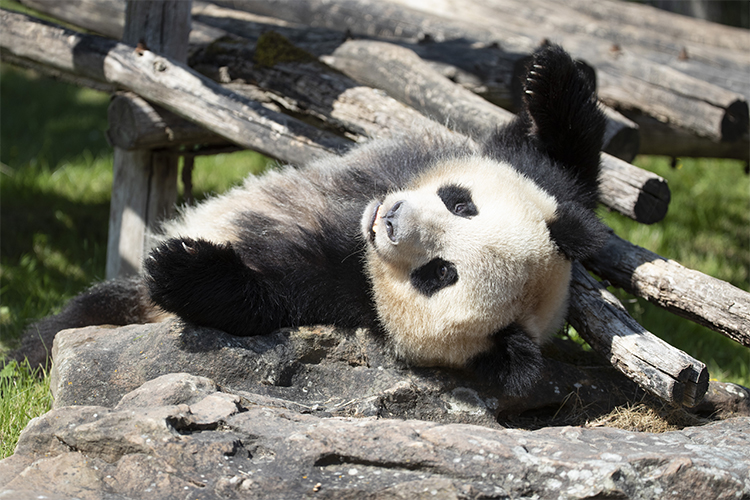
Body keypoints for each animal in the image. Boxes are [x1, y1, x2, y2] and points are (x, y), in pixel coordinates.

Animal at [17, 45, 608, 394]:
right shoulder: (531, 178)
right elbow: (563, 166)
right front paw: (552, 75)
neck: (356, 235)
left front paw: (182, 265)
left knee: (80, 319)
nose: (391, 219)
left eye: (438, 274)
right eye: (461, 203)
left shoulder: (344, 298)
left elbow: (267, 299)